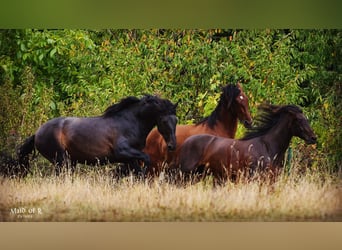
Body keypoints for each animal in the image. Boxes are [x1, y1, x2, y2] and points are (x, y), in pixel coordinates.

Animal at [18, 94, 179, 176]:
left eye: (176, 120)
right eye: (164, 120)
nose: (172, 145)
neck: (129, 123)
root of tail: (37, 133)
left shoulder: (130, 158)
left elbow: (137, 170)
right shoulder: (124, 152)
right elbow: (146, 160)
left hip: (69, 162)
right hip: (61, 160)